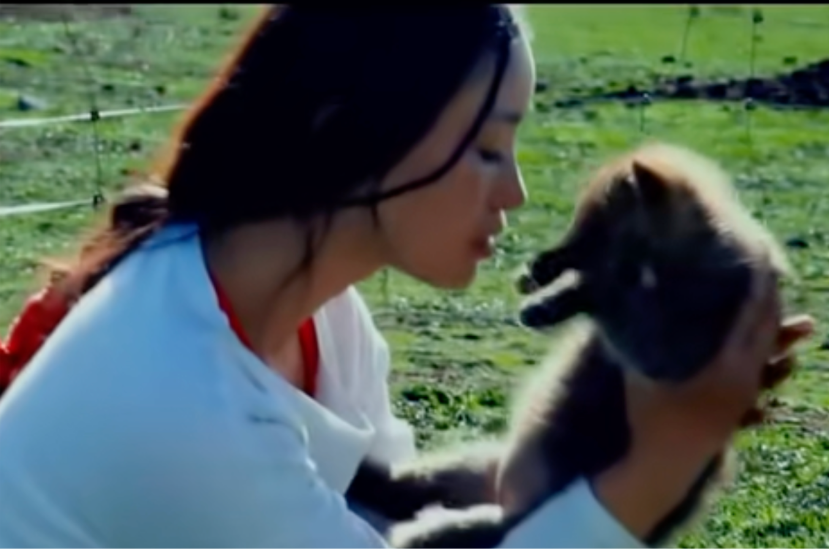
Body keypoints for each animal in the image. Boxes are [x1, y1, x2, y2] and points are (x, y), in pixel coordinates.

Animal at [347, 142, 797, 549]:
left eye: (594, 231)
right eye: (576, 223)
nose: (538, 264)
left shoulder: (693, 334)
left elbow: (640, 331)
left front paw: (564, 293)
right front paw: (546, 295)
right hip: (478, 464)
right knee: (413, 482)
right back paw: (368, 478)